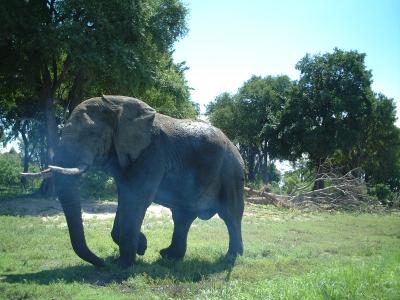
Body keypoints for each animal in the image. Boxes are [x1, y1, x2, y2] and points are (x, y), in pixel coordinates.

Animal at [25, 95, 245, 266]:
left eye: (91, 134)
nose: (102, 263)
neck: (116, 104)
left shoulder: (152, 154)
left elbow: (137, 200)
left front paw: (124, 264)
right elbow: (125, 198)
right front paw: (140, 247)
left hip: (230, 172)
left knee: (230, 215)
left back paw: (231, 257)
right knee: (182, 217)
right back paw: (169, 257)